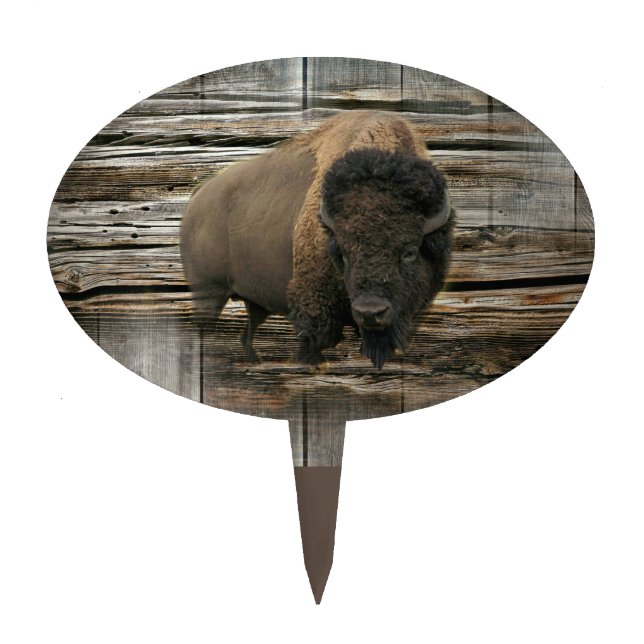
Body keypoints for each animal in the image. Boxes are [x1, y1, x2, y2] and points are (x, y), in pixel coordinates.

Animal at [180, 110, 454, 368]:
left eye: (409, 252)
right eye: (342, 252)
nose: (370, 312)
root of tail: (198, 196)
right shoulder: (315, 307)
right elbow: (314, 341)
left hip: (251, 300)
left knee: (246, 333)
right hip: (209, 292)